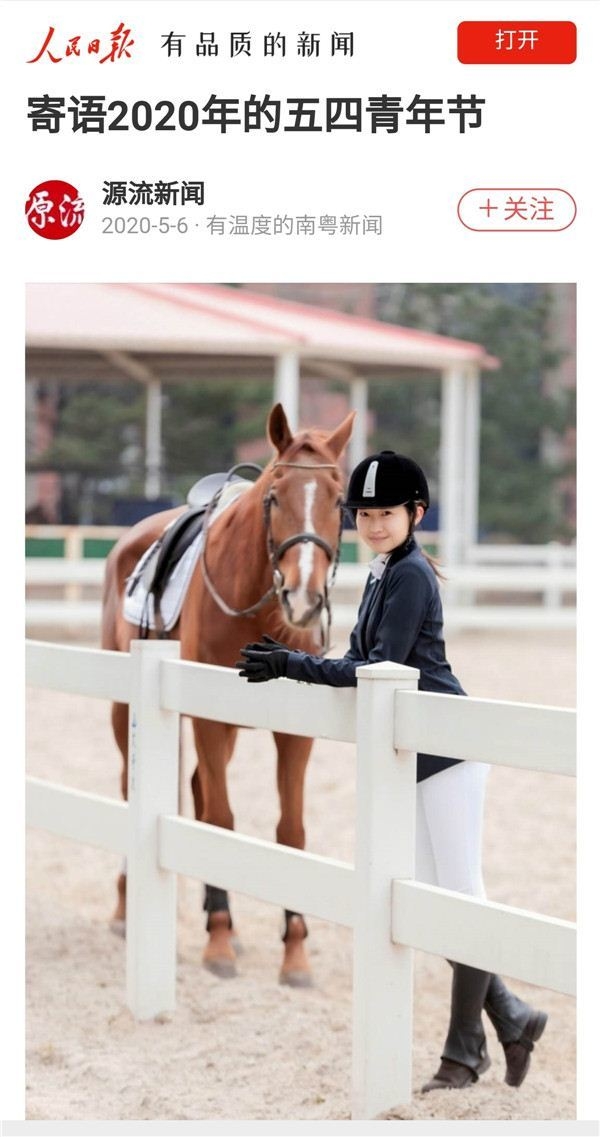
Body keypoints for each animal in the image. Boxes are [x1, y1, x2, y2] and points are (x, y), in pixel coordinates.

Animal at [100, 407, 354, 986]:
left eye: (338, 500)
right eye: (275, 497)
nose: (304, 598)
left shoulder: (294, 733)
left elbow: (290, 830)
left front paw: (294, 953)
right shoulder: (208, 722)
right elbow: (220, 818)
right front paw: (217, 943)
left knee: (197, 788)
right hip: (127, 711)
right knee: (132, 788)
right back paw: (129, 909)